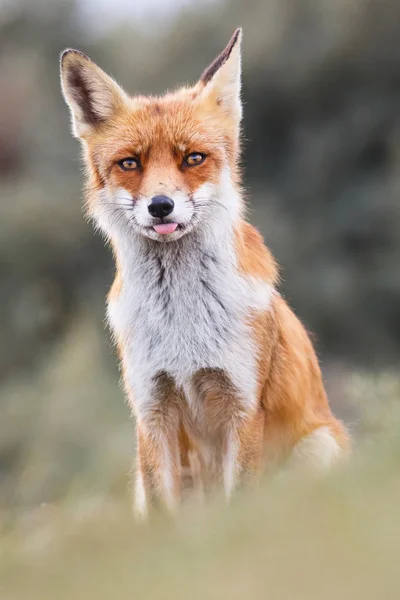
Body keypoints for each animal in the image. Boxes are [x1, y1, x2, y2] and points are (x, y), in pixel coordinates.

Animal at [60, 28, 350, 516]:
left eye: (192, 158)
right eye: (130, 163)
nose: (161, 206)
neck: (183, 324)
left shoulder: (242, 404)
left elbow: (239, 503)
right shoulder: (152, 409)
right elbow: (163, 513)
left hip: (319, 448)